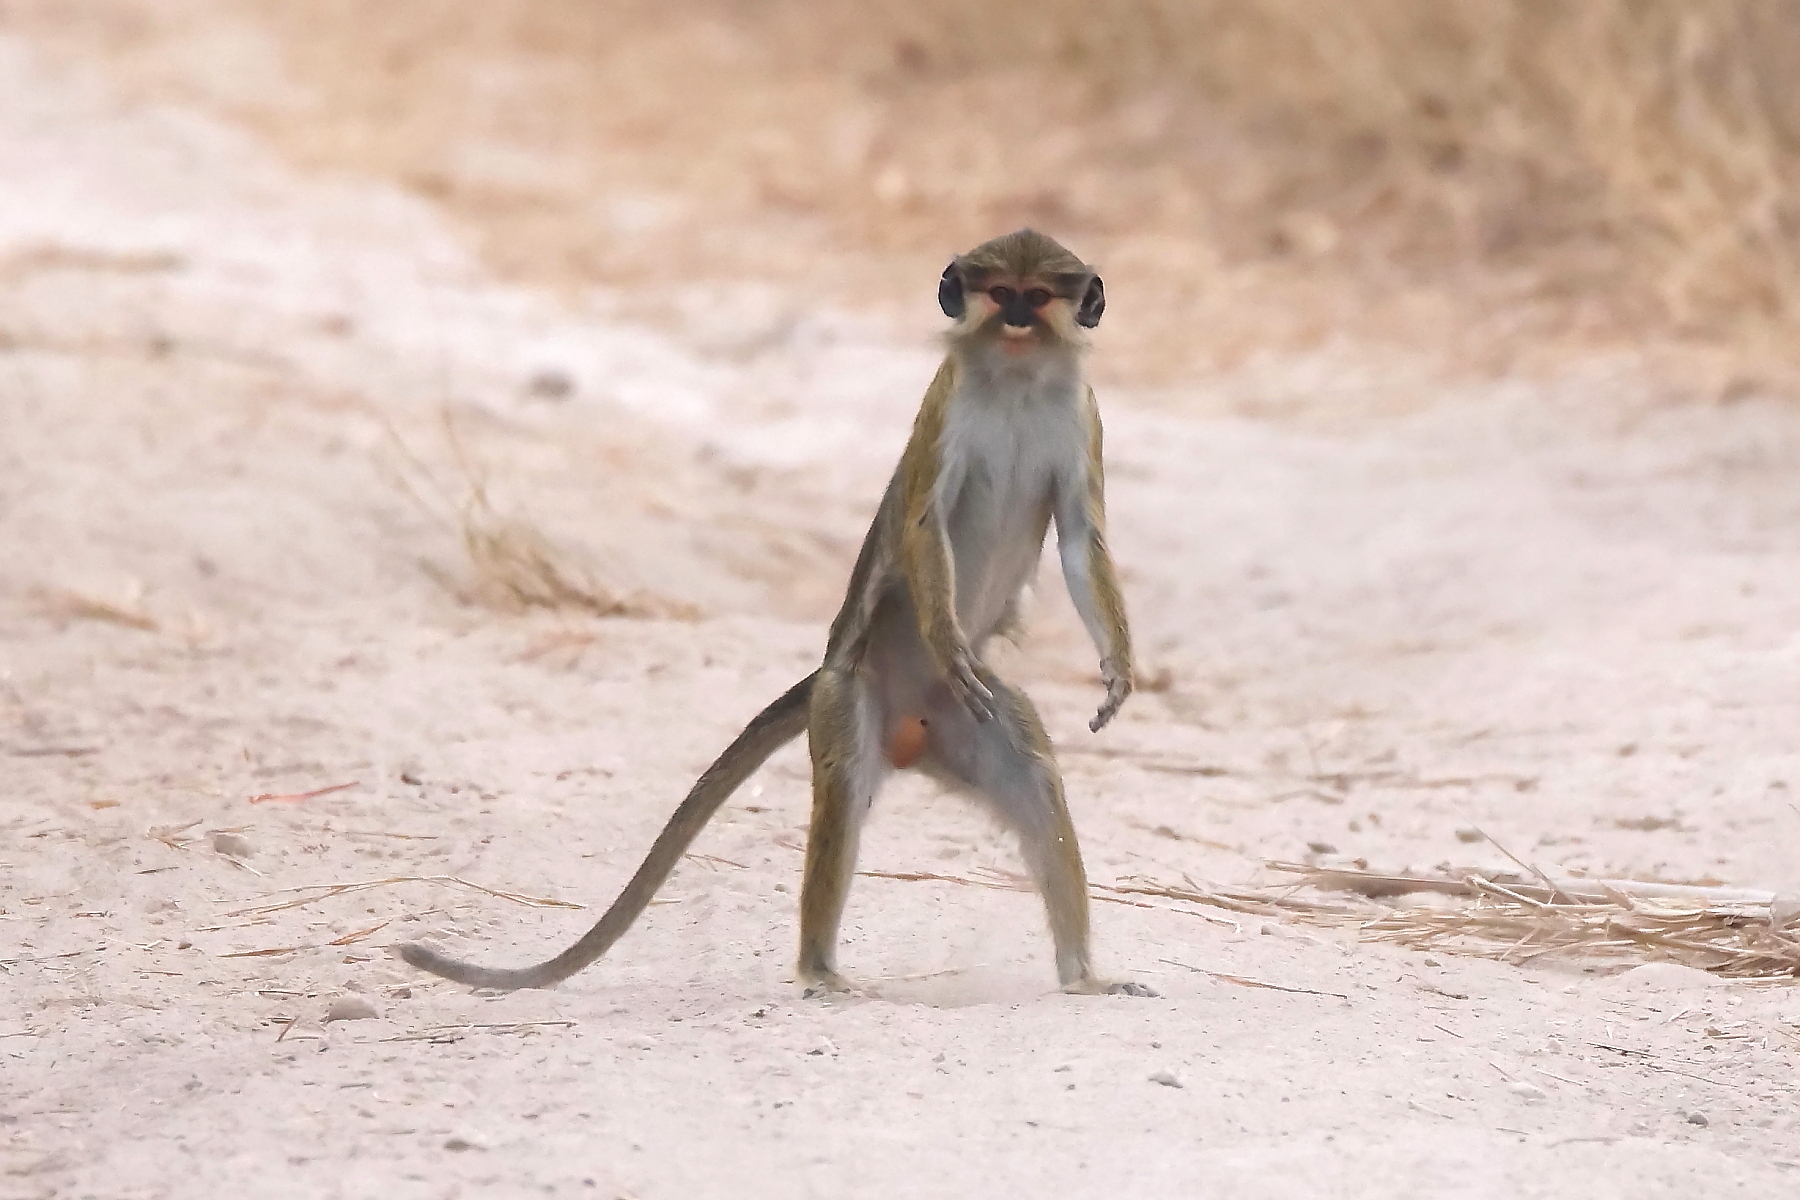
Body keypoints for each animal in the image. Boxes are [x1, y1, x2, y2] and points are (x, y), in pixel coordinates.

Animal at [400, 228, 1150, 997]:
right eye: (1001, 295)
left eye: (1039, 297)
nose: (1019, 323)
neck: (1018, 380)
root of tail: (911, 722)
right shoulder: (947, 408)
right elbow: (924, 523)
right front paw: (947, 639)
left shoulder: (1081, 415)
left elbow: (1080, 538)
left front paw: (1118, 669)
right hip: (848, 695)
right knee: (844, 784)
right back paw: (820, 968)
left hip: (966, 717)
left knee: (1033, 779)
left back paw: (1080, 977)